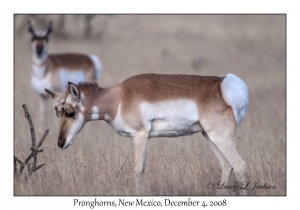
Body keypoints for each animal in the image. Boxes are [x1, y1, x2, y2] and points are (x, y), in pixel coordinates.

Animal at [45, 73, 250, 194]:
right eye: (58, 112)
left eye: (70, 112)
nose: (60, 143)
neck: (118, 98)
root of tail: (224, 85)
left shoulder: (140, 136)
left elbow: (138, 170)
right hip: (210, 137)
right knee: (227, 165)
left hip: (221, 138)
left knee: (240, 165)